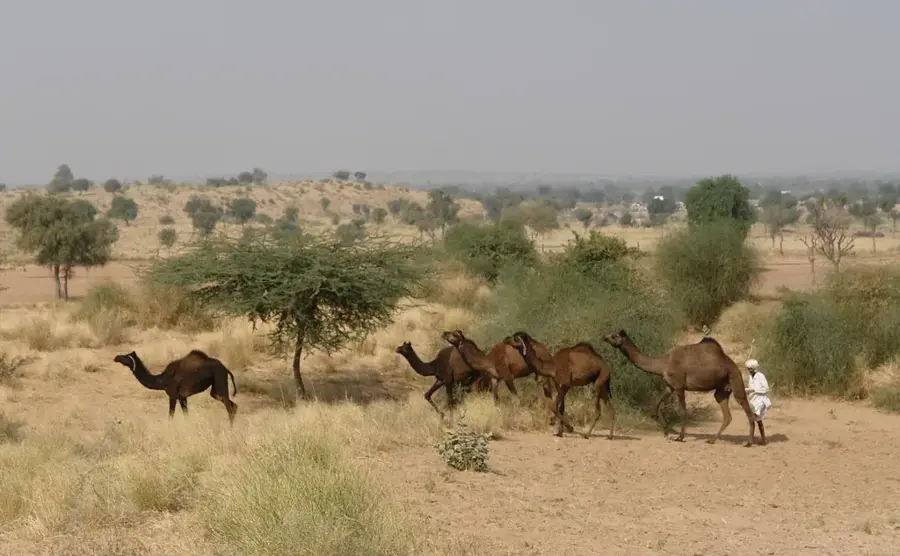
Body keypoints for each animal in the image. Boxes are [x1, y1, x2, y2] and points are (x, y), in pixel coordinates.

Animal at [602, 329, 759, 446]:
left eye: (614, 335)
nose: (604, 337)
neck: (663, 363)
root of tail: (734, 365)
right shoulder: (669, 386)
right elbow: (655, 406)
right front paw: (666, 431)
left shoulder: (679, 386)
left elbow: (682, 411)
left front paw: (680, 437)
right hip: (722, 390)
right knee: (727, 415)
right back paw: (712, 439)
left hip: (735, 379)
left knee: (747, 408)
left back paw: (749, 442)